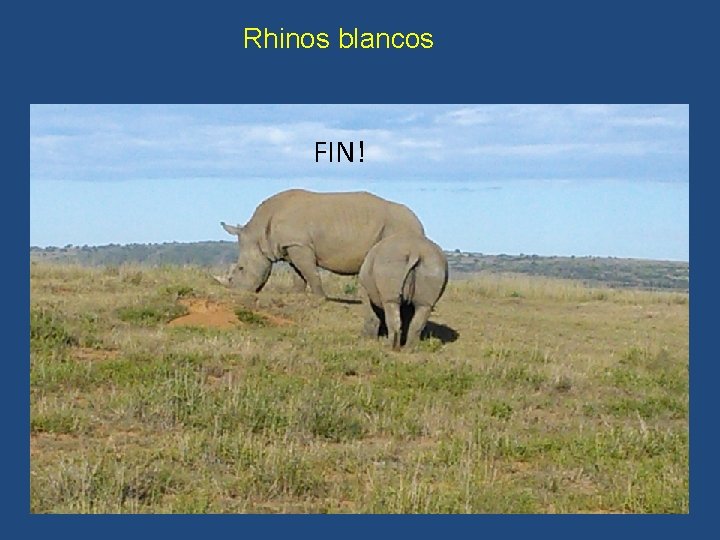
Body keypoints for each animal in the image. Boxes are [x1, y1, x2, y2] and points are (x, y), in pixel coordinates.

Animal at [216, 189, 425, 297]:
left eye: (241, 268)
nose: (237, 291)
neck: (259, 234)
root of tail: (418, 222)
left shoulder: (299, 244)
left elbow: (310, 272)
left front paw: (320, 298)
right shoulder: (291, 246)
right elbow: (298, 274)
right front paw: (297, 295)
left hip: (399, 227)